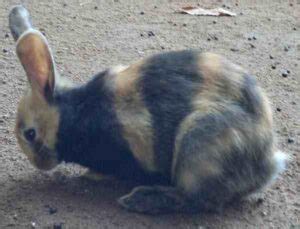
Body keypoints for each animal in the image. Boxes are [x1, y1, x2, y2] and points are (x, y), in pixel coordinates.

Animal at [9, 5, 288, 215]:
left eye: (30, 134)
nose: (39, 164)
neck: (75, 115)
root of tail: (268, 163)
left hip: (199, 143)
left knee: (199, 200)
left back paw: (141, 199)